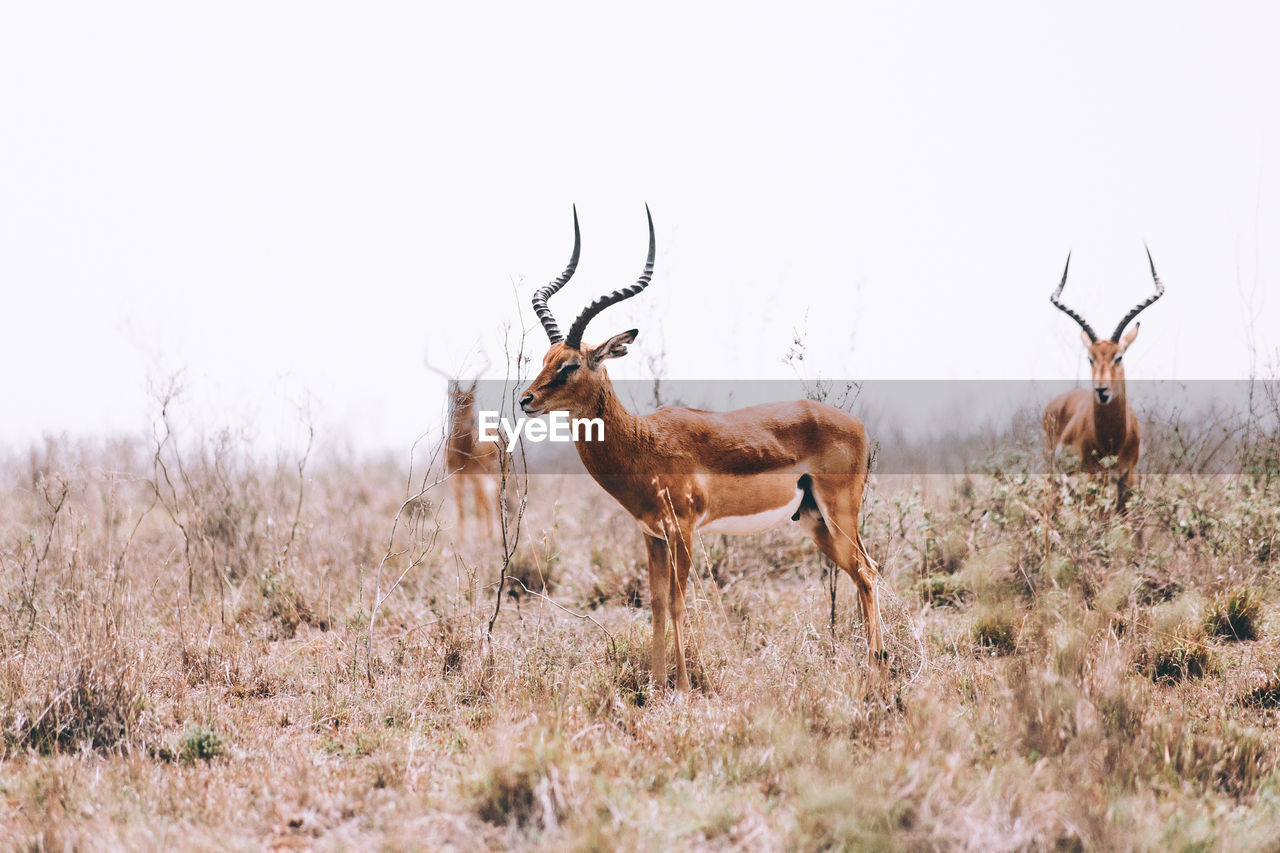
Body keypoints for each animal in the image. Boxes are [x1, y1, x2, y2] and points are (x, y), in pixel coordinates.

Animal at [517, 207, 880, 691]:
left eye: (570, 364)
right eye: (545, 359)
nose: (526, 400)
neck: (644, 442)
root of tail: (858, 425)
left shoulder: (683, 530)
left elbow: (677, 603)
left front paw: (685, 688)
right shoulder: (652, 535)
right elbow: (653, 605)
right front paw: (655, 688)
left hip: (838, 513)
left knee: (867, 571)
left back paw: (879, 669)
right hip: (814, 520)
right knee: (862, 573)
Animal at [1044, 249, 1167, 507]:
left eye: (1118, 356)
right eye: (1090, 358)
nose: (1101, 390)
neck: (1113, 439)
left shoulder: (1127, 477)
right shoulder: (1093, 478)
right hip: (1055, 479)